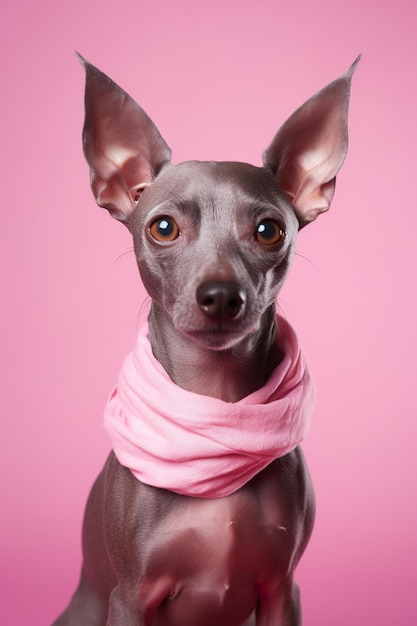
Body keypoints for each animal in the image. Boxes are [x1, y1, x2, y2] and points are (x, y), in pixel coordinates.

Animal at [52, 54, 358, 624]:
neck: (215, 407)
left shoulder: (281, 591)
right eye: (163, 228)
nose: (220, 295)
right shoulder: (130, 598)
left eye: (269, 230)